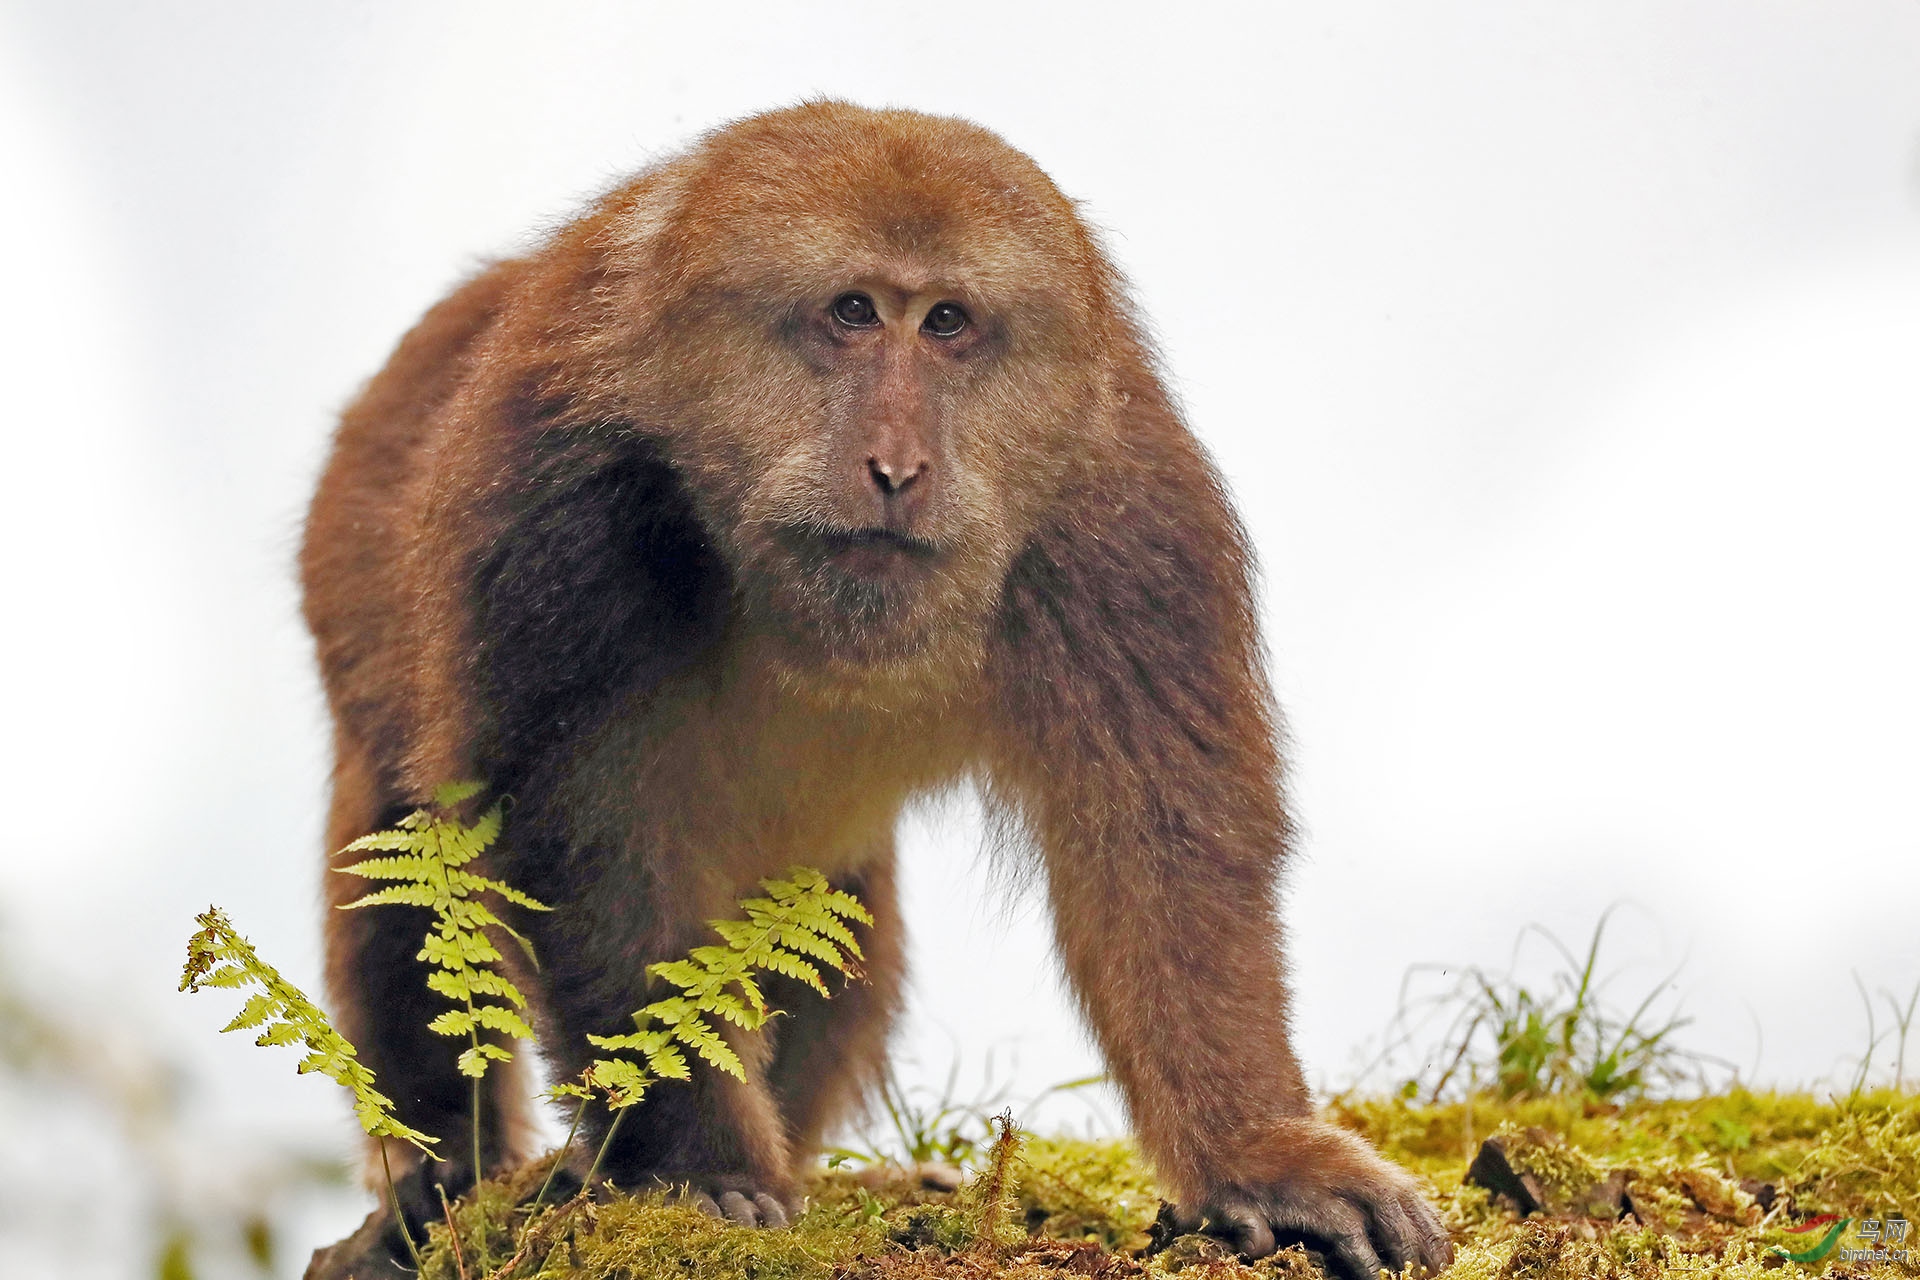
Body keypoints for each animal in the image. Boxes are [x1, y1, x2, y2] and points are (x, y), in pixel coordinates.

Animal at [291, 102, 1443, 1280]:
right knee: (401, 839)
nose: (897, 466)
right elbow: (579, 831)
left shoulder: (1121, 515)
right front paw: (695, 1164)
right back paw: (442, 1186)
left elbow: (1157, 844)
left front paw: (1258, 1155)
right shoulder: (556, 497)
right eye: (852, 313)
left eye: (946, 323)